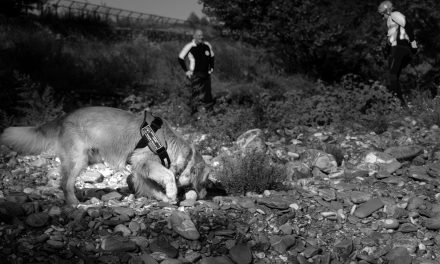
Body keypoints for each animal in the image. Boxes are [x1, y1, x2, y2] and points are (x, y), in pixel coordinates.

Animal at [0, 106, 210, 205]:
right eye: (205, 182)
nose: (205, 195)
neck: (166, 142)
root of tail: (63, 117)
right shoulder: (144, 161)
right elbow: (168, 176)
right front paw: (172, 193)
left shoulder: (139, 172)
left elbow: (151, 187)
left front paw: (165, 198)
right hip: (78, 160)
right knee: (65, 183)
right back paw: (75, 203)